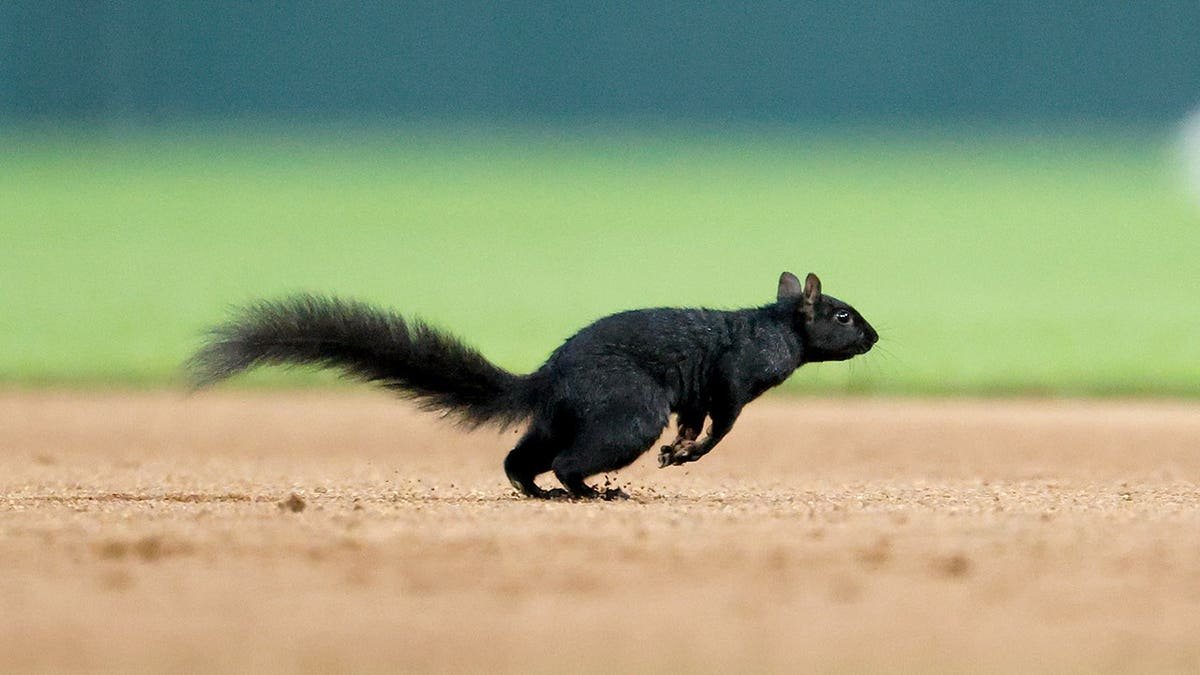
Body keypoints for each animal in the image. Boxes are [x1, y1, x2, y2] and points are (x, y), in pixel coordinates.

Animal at [189, 271, 877, 500]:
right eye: (843, 316)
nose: (874, 336)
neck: (775, 328)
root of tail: (548, 378)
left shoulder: (703, 393)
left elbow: (695, 420)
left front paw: (678, 451)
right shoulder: (733, 379)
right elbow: (721, 426)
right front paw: (685, 454)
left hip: (558, 419)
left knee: (521, 457)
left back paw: (536, 492)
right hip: (626, 412)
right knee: (570, 460)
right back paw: (591, 494)